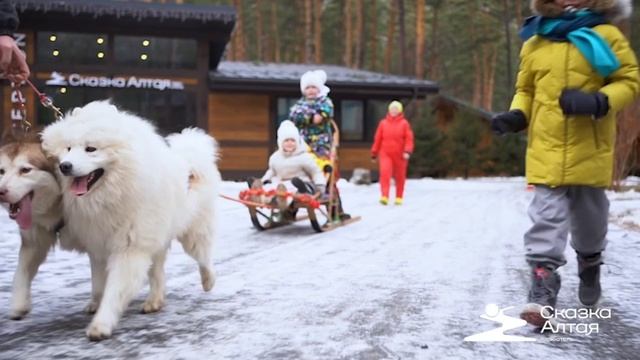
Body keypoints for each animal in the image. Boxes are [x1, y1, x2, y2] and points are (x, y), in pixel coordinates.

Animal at [41, 100, 220, 340]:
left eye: (91, 149)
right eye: (68, 148)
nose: (65, 166)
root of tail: (189, 162)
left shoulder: (129, 248)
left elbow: (115, 290)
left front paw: (101, 325)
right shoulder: (98, 246)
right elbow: (98, 284)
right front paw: (95, 304)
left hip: (191, 235)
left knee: (204, 258)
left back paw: (208, 281)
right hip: (156, 239)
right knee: (158, 274)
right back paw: (154, 301)